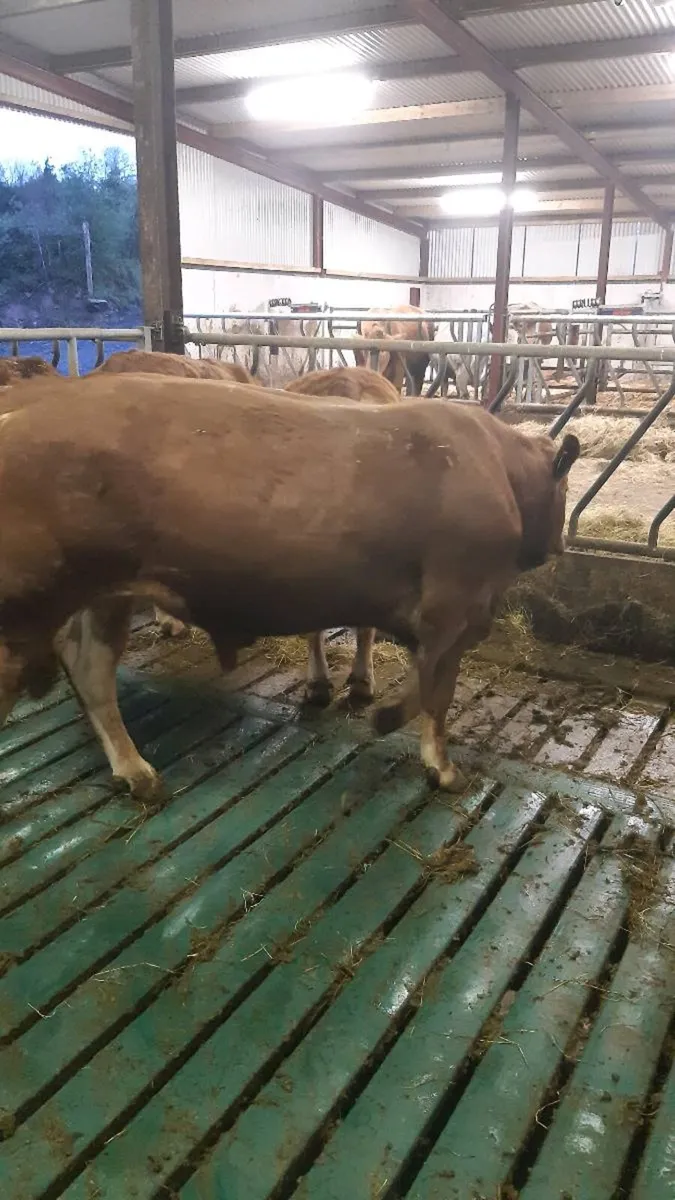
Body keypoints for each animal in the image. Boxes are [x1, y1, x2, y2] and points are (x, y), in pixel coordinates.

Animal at [0, 373, 578, 800]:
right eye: (565, 487)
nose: (558, 547)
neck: (495, 466)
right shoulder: (454, 607)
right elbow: (435, 691)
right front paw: (425, 751)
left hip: (103, 596)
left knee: (91, 669)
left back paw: (135, 771)